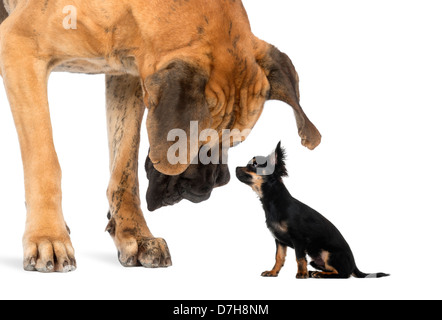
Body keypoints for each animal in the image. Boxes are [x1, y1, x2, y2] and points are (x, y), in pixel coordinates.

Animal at [0, 0, 320, 272]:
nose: (214, 184)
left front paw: (135, 235)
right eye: (193, 143)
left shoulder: (128, 77)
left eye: (235, 142)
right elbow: (44, 161)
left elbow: (124, 170)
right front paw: (47, 236)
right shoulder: (19, 49)